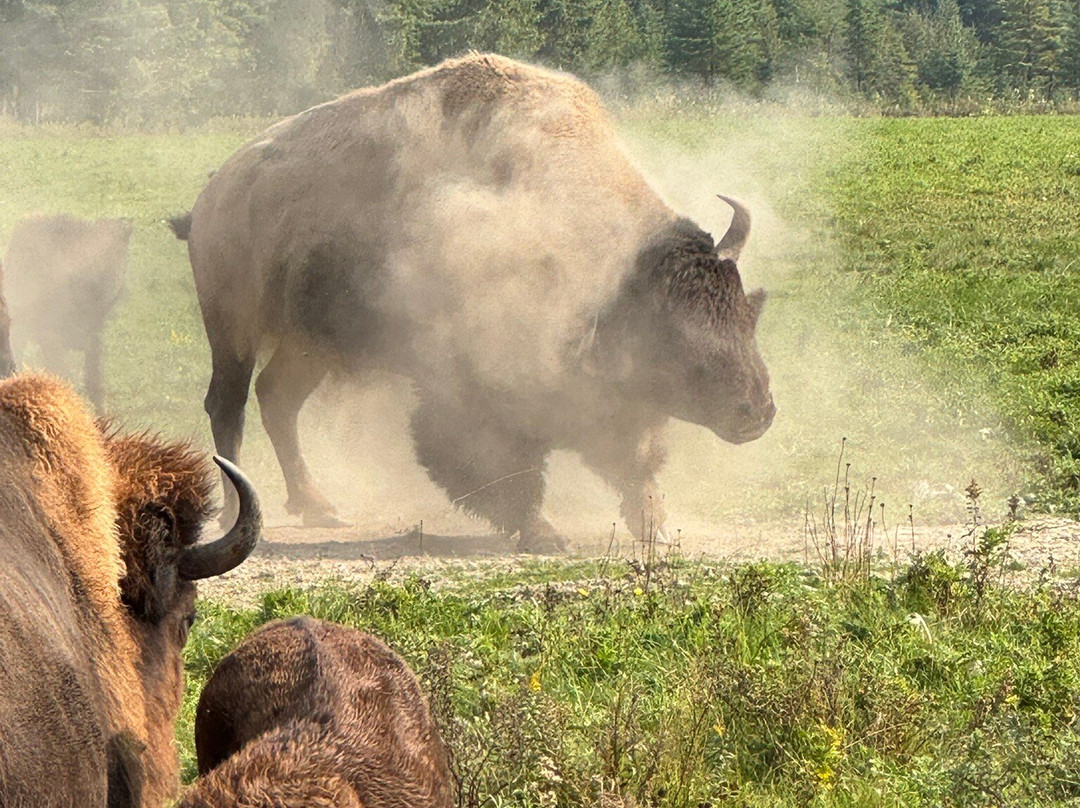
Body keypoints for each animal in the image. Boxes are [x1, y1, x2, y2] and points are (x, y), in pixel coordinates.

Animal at [172, 53, 775, 552]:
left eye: (749, 316)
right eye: (676, 337)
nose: (759, 411)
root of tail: (211, 196)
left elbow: (633, 458)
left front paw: (656, 528)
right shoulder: (473, 390)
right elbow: (505, 466)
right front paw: (544, 534)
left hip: (310, 345)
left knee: (278, 400)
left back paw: (319, 507)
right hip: (233, 329)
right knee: (229, 406)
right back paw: (236, 515)